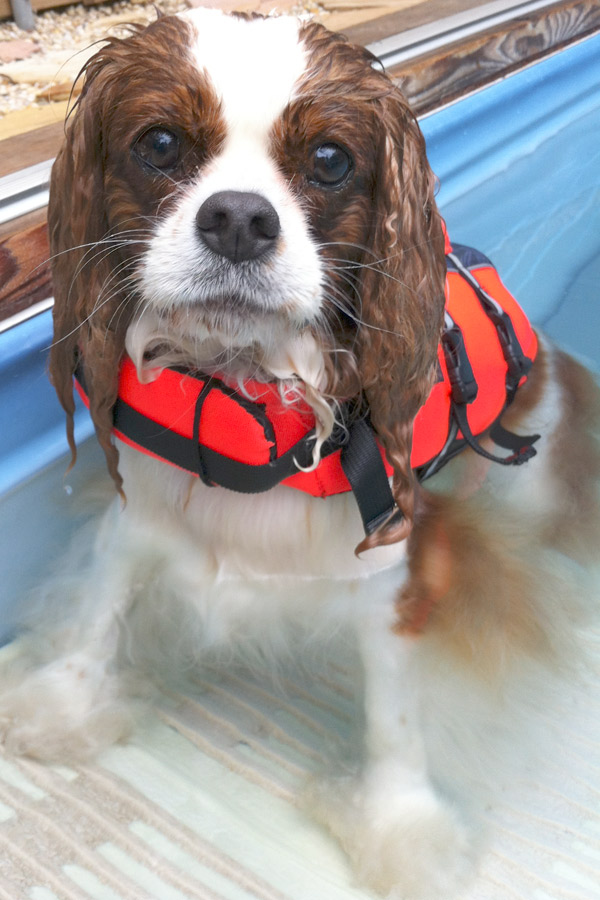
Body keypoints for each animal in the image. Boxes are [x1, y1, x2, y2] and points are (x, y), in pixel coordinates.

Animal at [1, 8, 600, 900]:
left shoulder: (394, 581)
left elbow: (395, 721)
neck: (247, 390)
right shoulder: (139, 518)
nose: (239, 218)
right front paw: (63, 706)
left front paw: (400, 825)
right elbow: (96, 614)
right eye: (159, 143)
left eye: (329, 160)